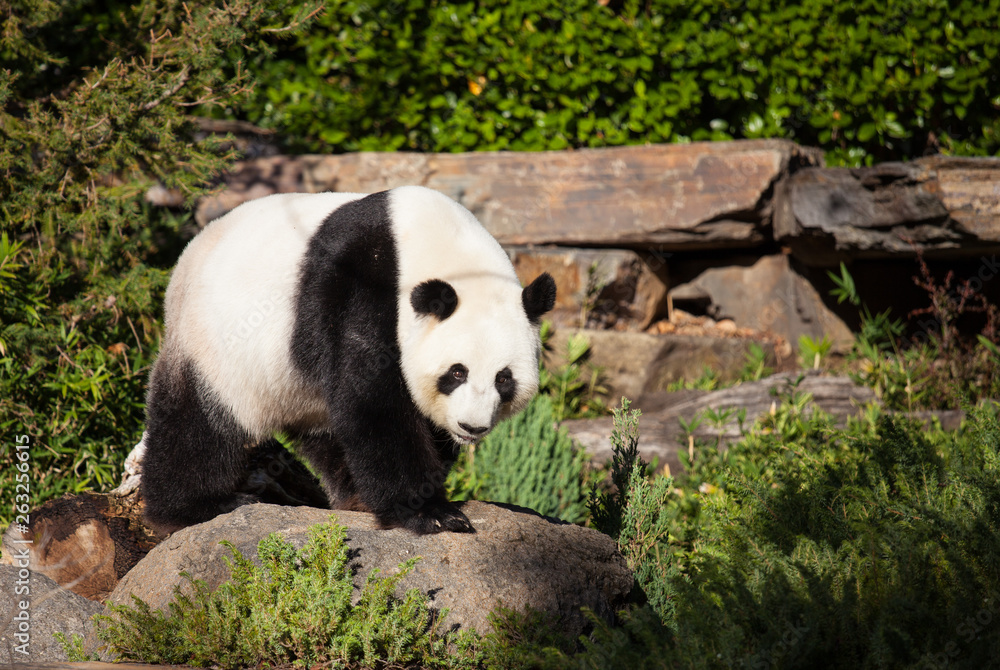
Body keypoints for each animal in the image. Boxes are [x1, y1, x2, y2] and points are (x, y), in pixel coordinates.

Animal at [140, 185, 556, 536]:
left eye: (504, 379)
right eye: (456, 372)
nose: (471, 427)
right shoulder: (363, 287)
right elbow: (374, 400)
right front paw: (433, 514)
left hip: (297, 389)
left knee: (327, 431)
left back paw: (352, 495)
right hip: (215, 347)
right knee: (198, 425)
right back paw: (193, 508)